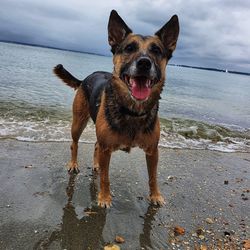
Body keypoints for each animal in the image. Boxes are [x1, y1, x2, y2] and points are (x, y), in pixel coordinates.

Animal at [53, 9, 179, 208]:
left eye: (156, 50)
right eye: (129, 48)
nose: (144, 63)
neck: (132, 110)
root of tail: (85, 78)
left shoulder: (153, 151)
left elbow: (153, 177)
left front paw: (155, 196)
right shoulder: (107, 149)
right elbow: (105, 178)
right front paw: (104, 198)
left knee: (96, 145)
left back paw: (96, 164)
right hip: (78, 123)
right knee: (74, 143)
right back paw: (73, 164)